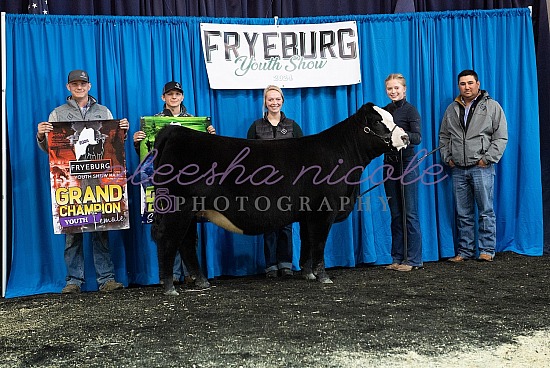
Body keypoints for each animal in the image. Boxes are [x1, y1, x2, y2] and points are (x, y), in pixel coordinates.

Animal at [151, 102, 410, 294]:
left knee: (186, 243)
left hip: (190, 211)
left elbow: (307, 243)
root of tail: (175, 132)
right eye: (377, 122)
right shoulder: (324, 210)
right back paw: (169, 287)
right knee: (168, 240)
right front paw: (323, 277)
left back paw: (202, 281)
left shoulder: (308, 214)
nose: (406, 137)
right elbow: (319, 244)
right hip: (178, 207)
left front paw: (308, 274)